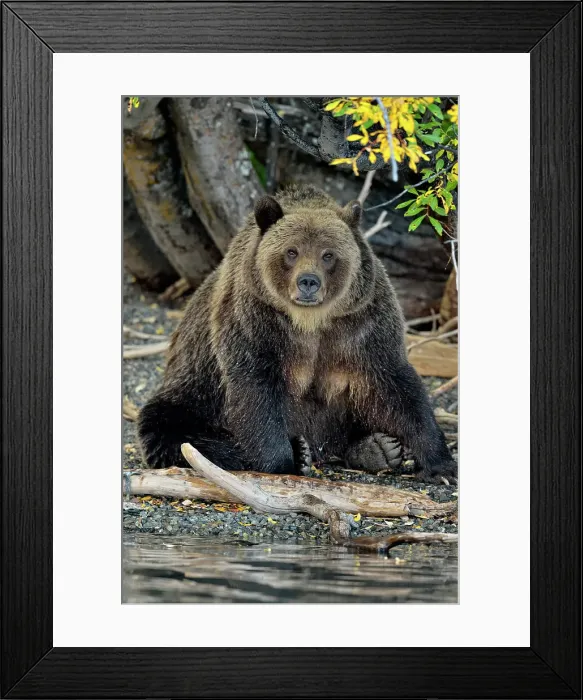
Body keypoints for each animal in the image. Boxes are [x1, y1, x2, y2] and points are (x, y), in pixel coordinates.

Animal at [138, 184, 457, 483]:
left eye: (328, 255)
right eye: (291, 251)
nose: (308, 282)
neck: (310, 321)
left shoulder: (363, 323)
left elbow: (396, 384)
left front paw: (440, 464)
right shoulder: (254, 321)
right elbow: (256, 393)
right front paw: (286, 461)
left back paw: (379, 447)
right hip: (194, 389)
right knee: (169, 428)